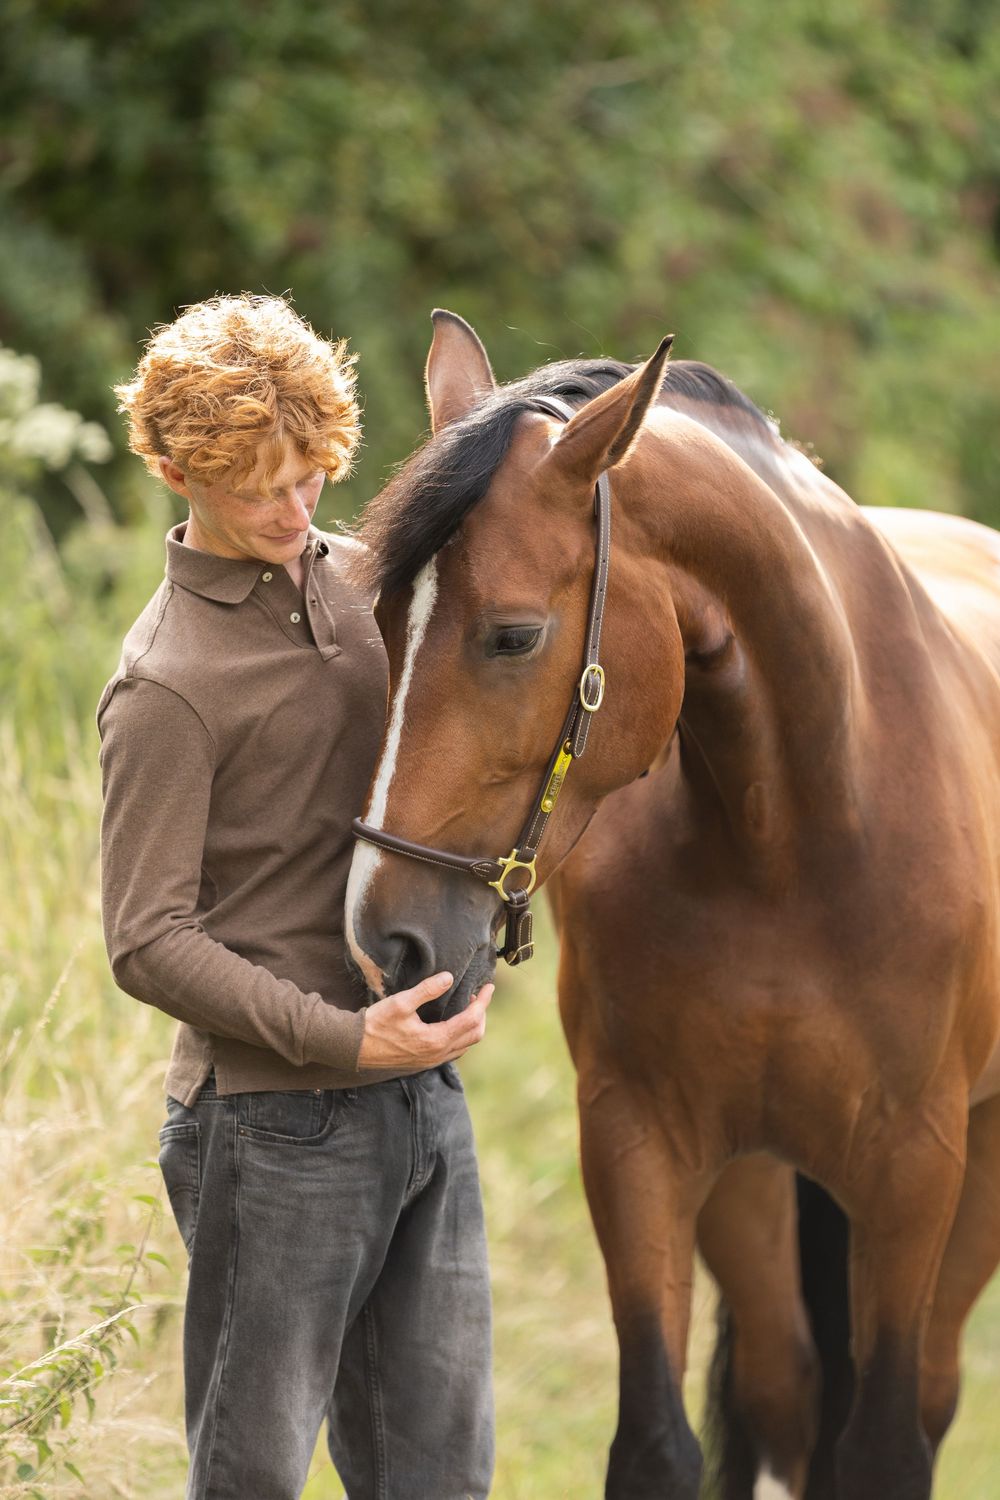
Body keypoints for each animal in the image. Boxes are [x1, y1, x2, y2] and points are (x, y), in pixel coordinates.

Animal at [344, 309, 1000, 1499]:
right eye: (377, 615)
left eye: (513, 635)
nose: (384, 940)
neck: (791, 840)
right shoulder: (639, 1138)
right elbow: (658, 1440)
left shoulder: (914, 1168)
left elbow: (885, 1445)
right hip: (752, 1188)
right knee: (786, 1393)